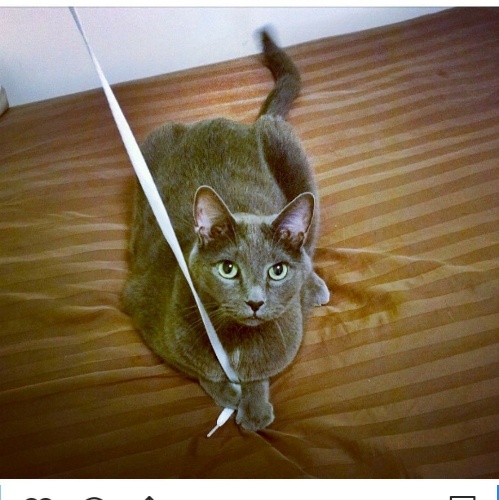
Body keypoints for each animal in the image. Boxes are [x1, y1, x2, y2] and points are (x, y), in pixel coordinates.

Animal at [122, 30, 329, 431]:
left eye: (276, 271)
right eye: (228, 269)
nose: (255, 301)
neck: (235, 341)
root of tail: (235, 122)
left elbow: (261, 370)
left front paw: (254, 407)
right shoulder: (137, 302)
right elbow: (198, 370)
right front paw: (230, 394)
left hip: (285, 145)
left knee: (310, 247)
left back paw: (314, 288)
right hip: (149, 149)